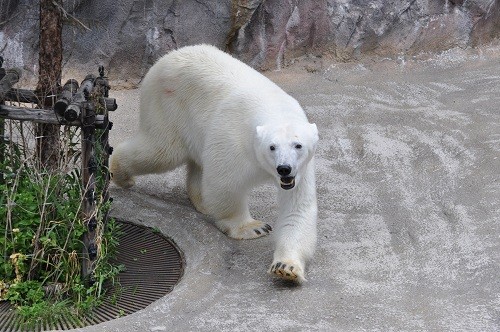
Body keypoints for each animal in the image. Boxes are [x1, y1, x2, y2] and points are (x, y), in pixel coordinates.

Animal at [111, 44, 318, 282]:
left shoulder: (301, 170)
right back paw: (121, 174)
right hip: (167, 105)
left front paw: (286, 267)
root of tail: (166, 57)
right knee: (161, 151)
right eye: (272, 147)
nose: (284, 169)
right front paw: (253, 228)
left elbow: (297, 207)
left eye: (298, 145)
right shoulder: (232, 139)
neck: (275, 109)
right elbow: (225, 184)